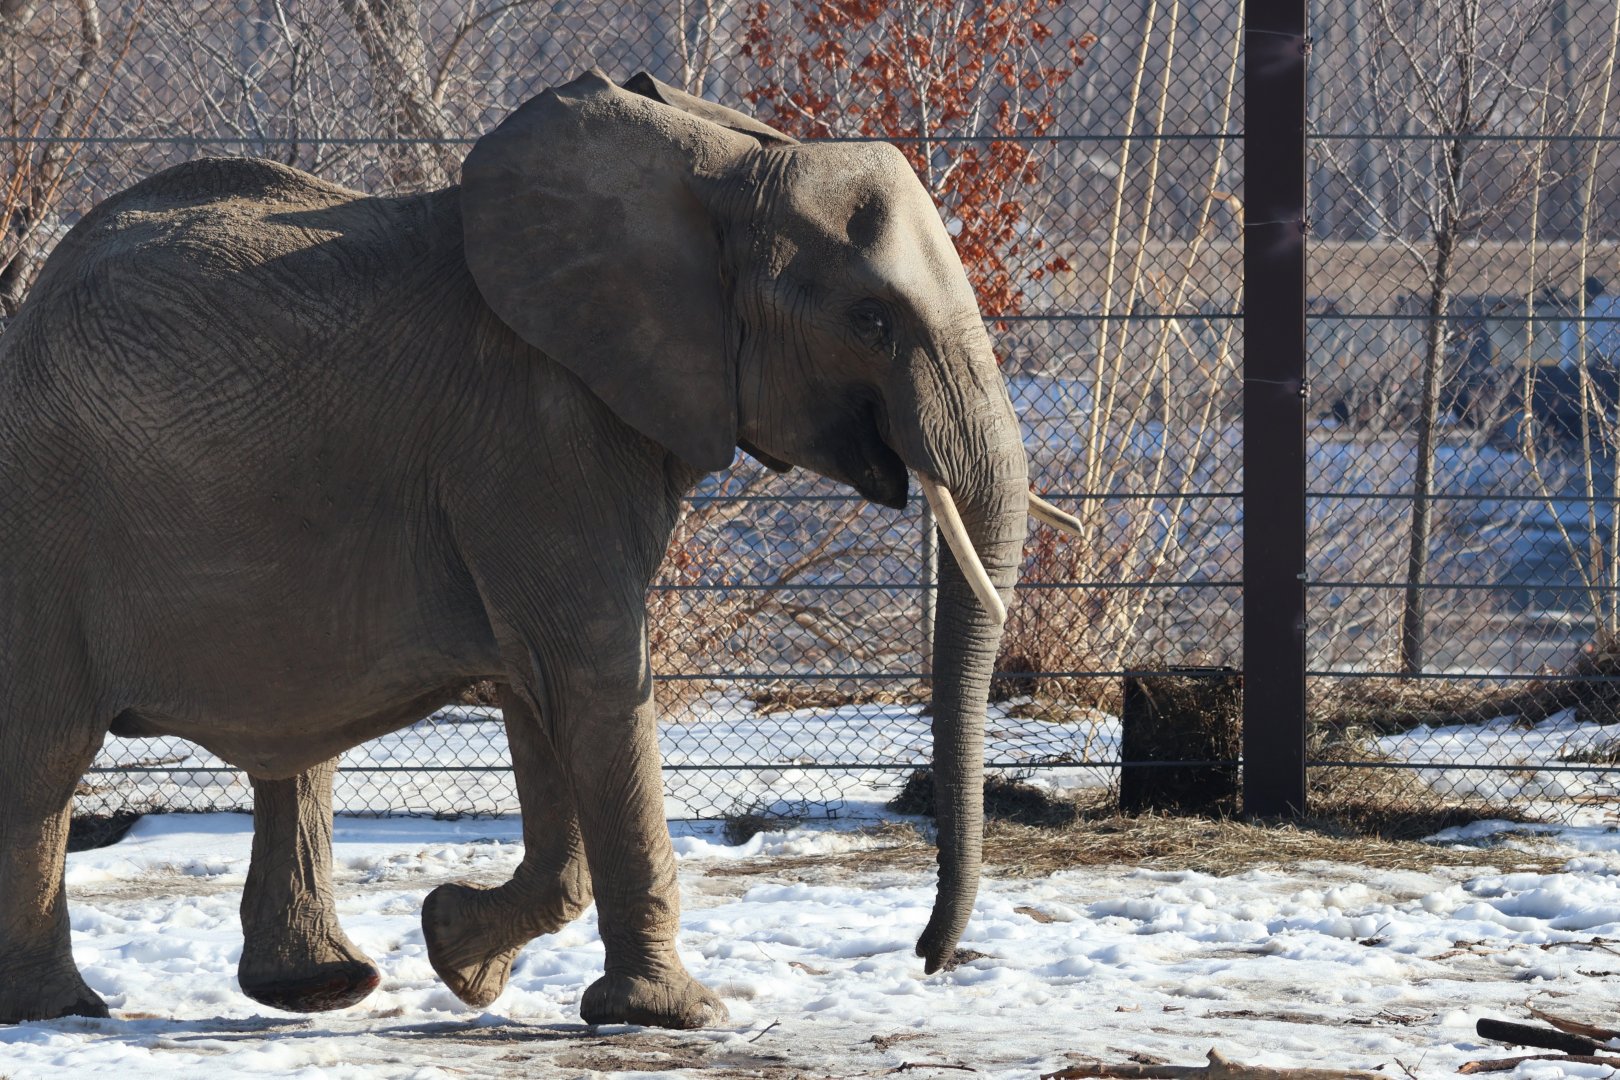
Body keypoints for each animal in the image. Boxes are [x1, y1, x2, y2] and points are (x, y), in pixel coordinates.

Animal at [0, 69, 1080, 1028]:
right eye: (870, 320)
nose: (929, 959)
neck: (716, 162)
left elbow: (544, 689)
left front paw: (456, 951)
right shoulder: (532, 428)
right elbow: (591, 671)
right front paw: (677, 1017)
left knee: (291, 747)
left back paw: (322, 990)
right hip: (44, 520)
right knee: (45, 758)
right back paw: (65, 1010)